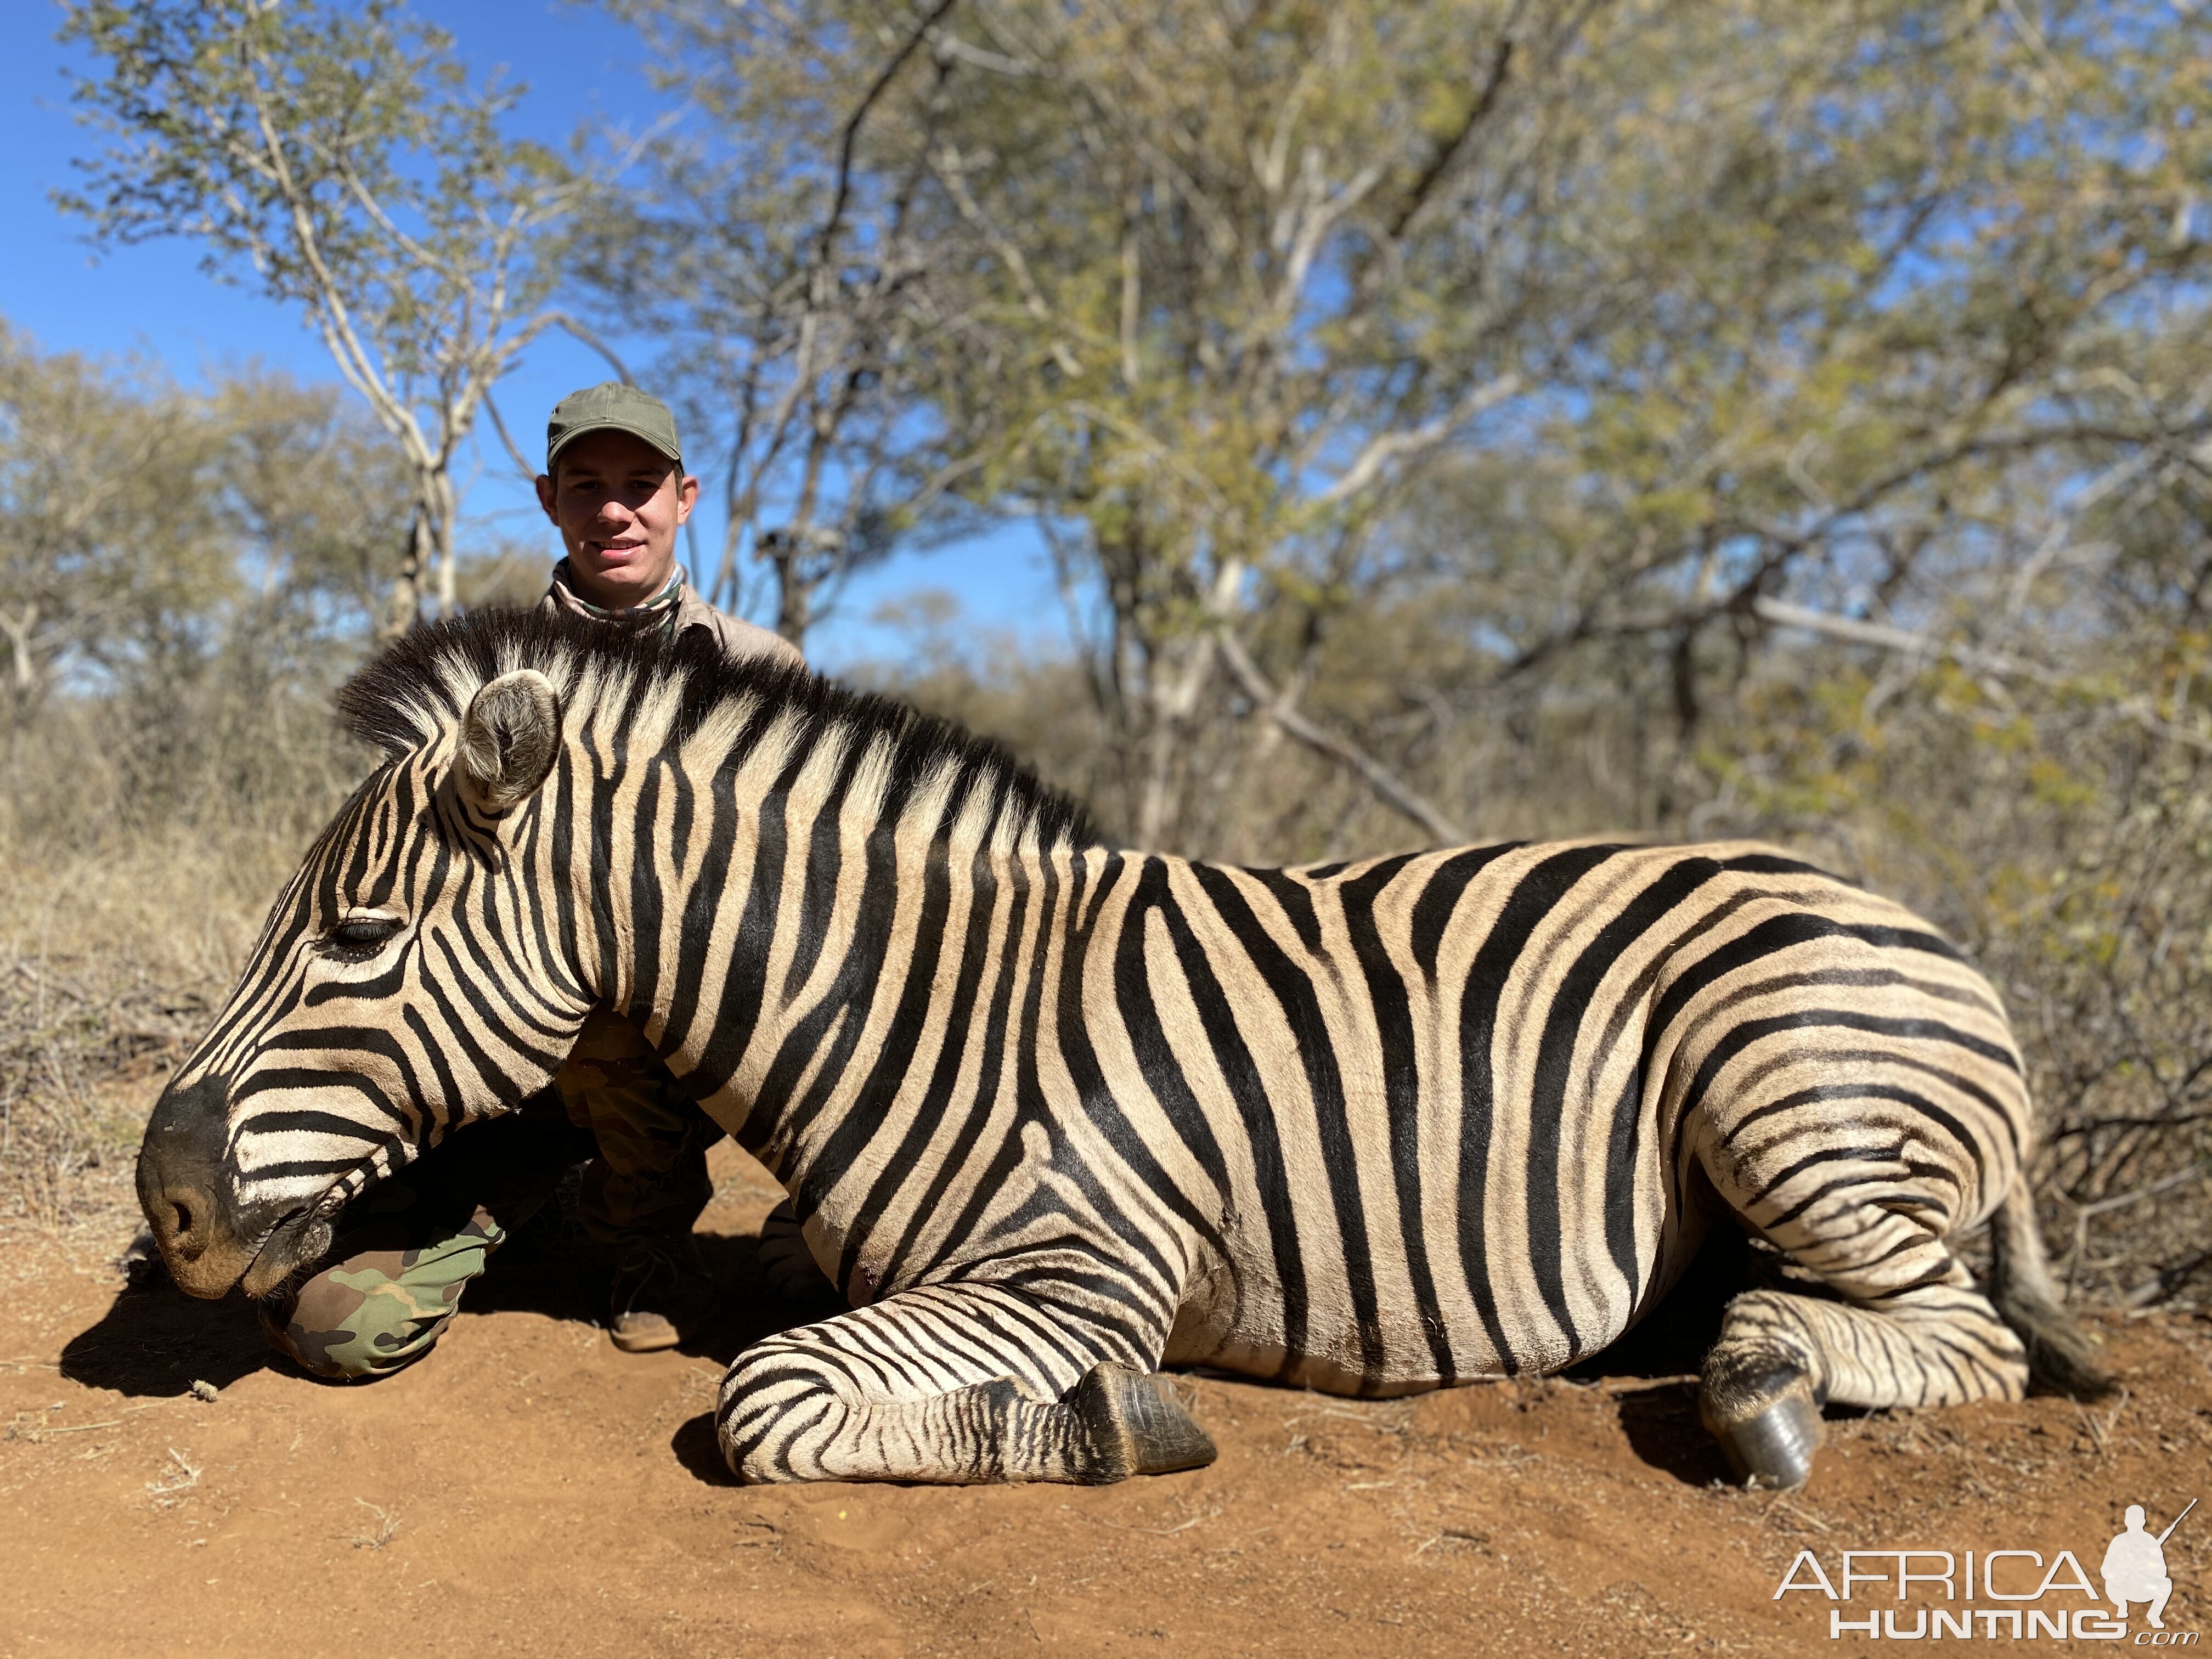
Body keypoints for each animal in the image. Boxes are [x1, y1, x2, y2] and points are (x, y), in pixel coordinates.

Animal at [138, 614, 2106, 1495]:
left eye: (355, 940)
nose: (167, 1208)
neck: (921, 1000)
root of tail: (1922, 926)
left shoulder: (1085, 1270)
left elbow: (771, 1400)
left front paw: (1096, 1423)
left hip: (1787, 1093)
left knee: (1972, 1334)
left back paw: (1759, 1383)